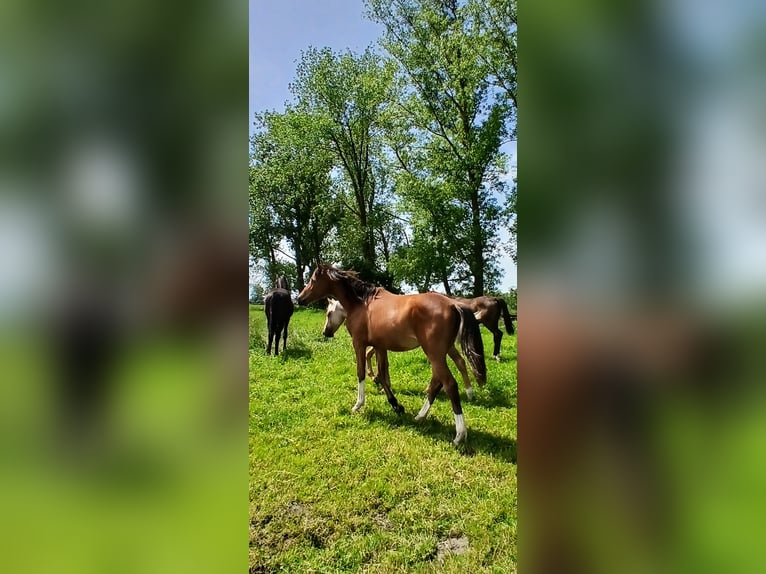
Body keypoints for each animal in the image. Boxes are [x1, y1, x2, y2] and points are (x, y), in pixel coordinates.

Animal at [323, 298, 478, 400]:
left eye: (329, 313)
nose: (325, 332)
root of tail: (454, 305)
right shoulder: (381, 346)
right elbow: (382, 363)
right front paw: (381, 382)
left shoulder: (378, 345)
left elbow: (375, 360)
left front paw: (378, 380)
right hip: (444, 347)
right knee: (459, 362)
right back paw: (468, 392)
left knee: (451, 365)